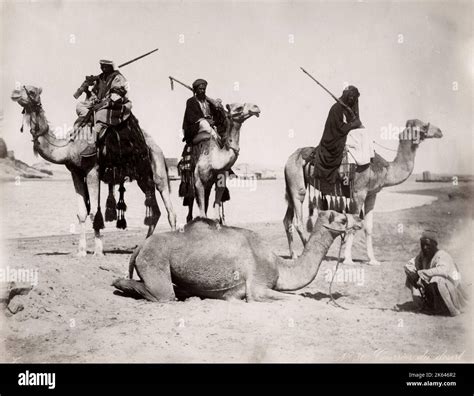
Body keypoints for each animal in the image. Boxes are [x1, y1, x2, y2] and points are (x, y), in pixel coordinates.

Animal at [11, 84, 178, 255]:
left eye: (31, 91)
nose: (14, 93)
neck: (69, 147)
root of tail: (157, 147)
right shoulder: (76, 173)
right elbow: (82, 212)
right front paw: (81, 251)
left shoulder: (92, 171)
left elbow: (93, 213)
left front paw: (98, 251)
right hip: (142, 177)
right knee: (155, 211)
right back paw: (144, 246)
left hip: (157, 167)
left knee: (169, 208)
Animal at [112, 210, 362, 300]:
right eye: (342, 219)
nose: (358, 219)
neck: (279, 265)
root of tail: (140, 246)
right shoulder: (257, 285)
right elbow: (295, 298)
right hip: (155, 259)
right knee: (162, 293)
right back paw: (119, 284)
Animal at [284, 120, 442, 262]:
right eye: (424, 126)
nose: (440, 131)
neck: (385, 169)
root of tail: (289, 159)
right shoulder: (358, 193)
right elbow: (353, 224)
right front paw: (348, 259)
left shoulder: (371, 194)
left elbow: (368, 227)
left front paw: (373, 260)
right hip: (297, 185)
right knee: (298, 220)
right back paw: (309, 252)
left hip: (291, 187)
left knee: (287, 220)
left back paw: (294, 255)